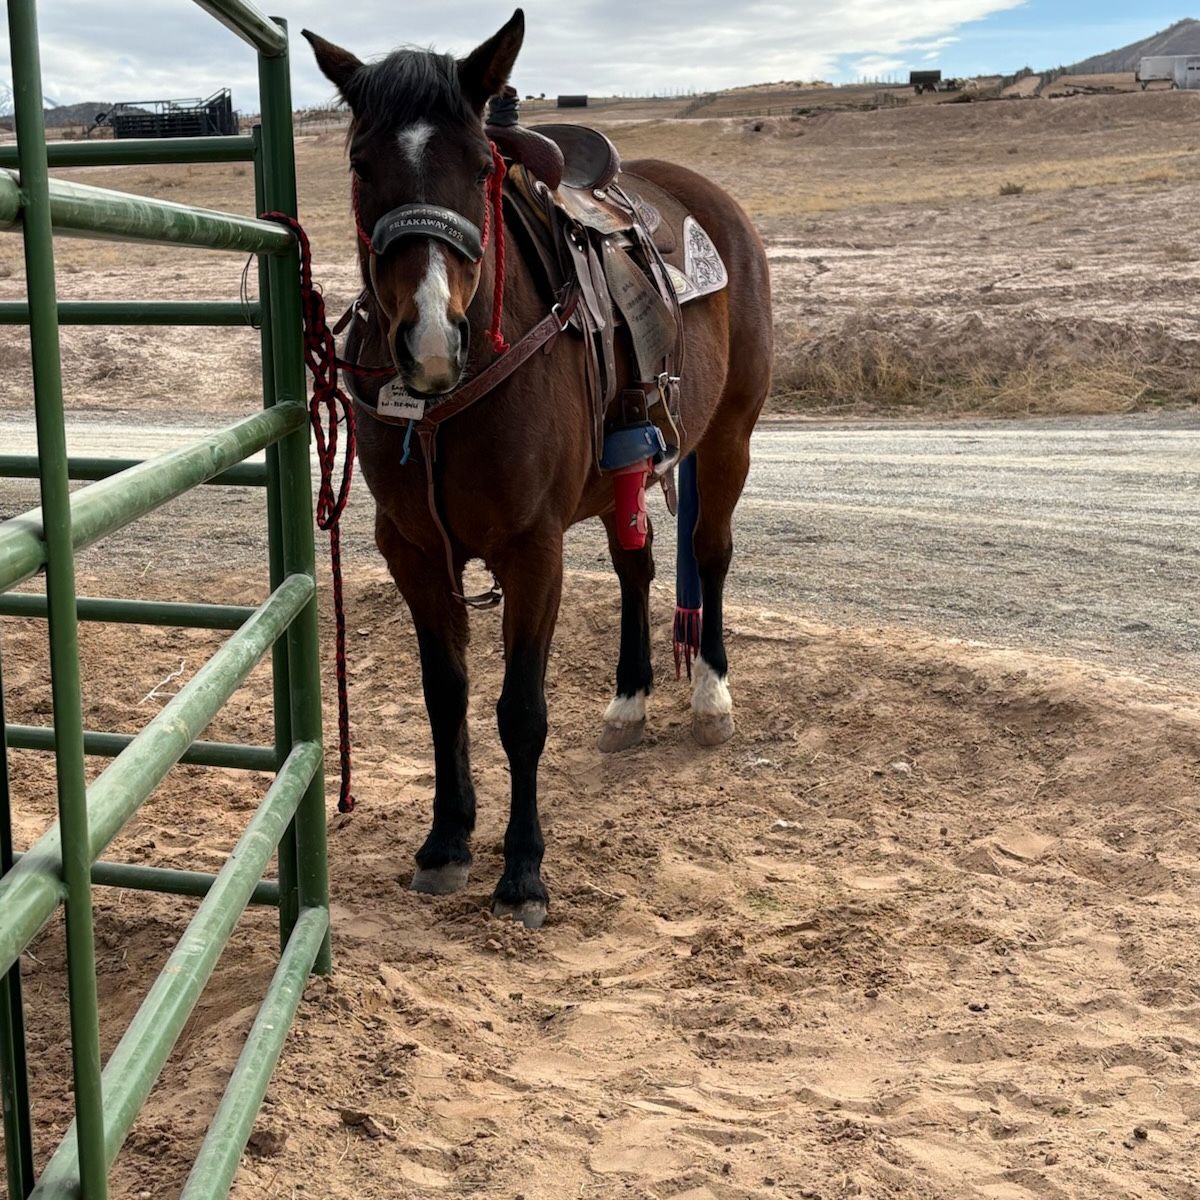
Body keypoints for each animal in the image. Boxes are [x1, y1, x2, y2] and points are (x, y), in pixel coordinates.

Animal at [302, 10, 772, 929]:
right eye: (361, 164)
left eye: (481, 165)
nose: (429, 339)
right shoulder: (413, 552)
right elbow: (444, 695)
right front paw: (447, 842)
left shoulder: (533, 550)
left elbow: (520, 710)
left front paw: (522, 869)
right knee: (636, 567)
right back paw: (629, 703)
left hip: (728, 438)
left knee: (710, 553)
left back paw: (710, 698)